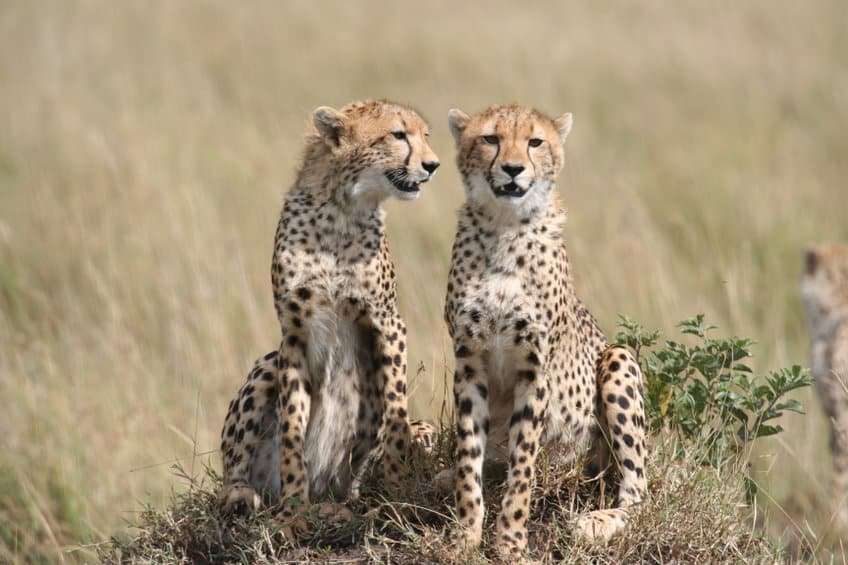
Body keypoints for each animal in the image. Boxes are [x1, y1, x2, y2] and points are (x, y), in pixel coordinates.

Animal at [215, 102, 440, 520]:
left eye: (426, 136)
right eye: (398, 135)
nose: (433, 165)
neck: (342, 208)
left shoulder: (387, 323)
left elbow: (395, 408)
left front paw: (399, 488)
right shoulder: (294, 333)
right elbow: (291, 427)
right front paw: (292, 507)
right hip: (269, 362)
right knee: (234, 472)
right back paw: (243, 495)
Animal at [440, 103, 644, 556]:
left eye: (535, 142)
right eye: (490, 139)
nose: (513, 169)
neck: (502, 228)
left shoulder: (534, 371)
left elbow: (522, 471)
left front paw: (511, 543)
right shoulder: (469, 364)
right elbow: (468, 459)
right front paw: (466, 535)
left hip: (618, 359)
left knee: (640, 491)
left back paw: (597, 523)